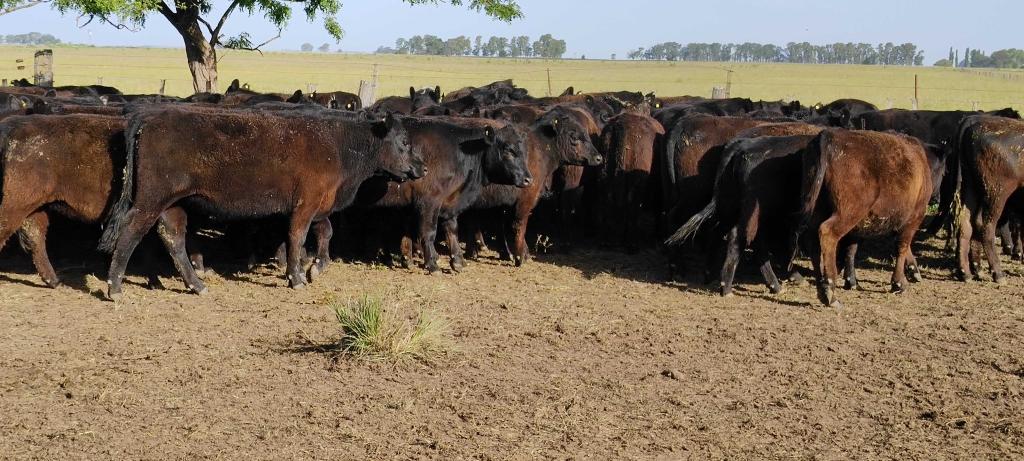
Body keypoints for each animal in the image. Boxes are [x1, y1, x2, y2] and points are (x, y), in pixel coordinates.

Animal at [98, 109, 424, 300]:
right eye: (404, 142)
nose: (421, 168)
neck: (339, 147)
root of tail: (152, 118)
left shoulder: (317, 205)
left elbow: (325, 231)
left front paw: (316, 267)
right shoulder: (305, 205)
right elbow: (297, 238)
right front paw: (296, 277)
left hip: (173, 205)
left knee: (174, 239)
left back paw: (197, 285)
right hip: (150, 201)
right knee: (130, 233)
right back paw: (115, 287)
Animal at [792, 129, 932, 307]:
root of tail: (828, 136)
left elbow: (851, 249)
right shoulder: (913, 218)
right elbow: (902, 246)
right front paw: (898, 283)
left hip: (819, 208)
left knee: (812, 240)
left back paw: (821, 288)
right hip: (849, 212)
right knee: (827, 233)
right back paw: (830, 291)